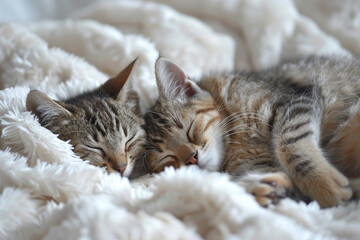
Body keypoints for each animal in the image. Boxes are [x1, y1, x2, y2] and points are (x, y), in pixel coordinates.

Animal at [143, 55, 360, 207]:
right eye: (167, 157)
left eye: (189, 129)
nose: (191, 158)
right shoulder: (259, 164)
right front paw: (257, 187)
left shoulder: (296, 98)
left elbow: (290, 142)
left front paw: (323, 182)